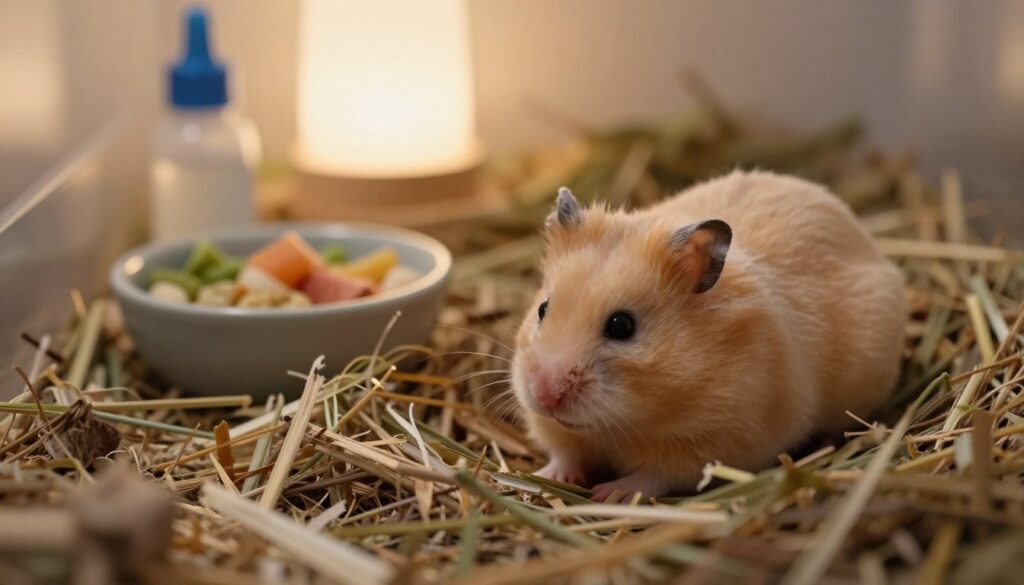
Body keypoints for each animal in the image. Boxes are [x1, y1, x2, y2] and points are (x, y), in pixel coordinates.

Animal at [511, 170, 906, 501]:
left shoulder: (713, 442)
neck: (623, 424)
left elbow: (655, 475)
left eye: (622, 326)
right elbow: (565, 453)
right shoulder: (559, 431)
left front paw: (608, 494)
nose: (545, 396)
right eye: (543, 309)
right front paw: (547, 477)